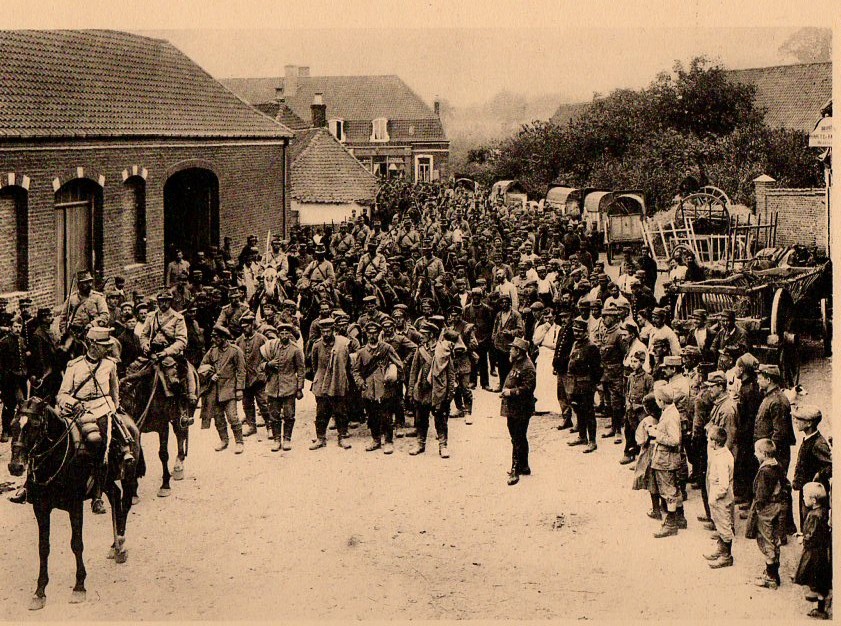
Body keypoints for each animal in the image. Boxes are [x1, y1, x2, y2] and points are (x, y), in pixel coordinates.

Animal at [7, 397, 141, 611]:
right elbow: (43, 547)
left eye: (34, 425)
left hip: (129, 474)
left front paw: (79, 587)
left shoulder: (75, 506)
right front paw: (39, 592)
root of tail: (128, 420)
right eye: (13, 425)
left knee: (125, 503)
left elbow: (76, 544)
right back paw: (114, 544)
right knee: (114, 495)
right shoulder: (41, 508)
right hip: (106, 480)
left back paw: (120, 543)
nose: (15, 466)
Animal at [120, 358, 192, 499]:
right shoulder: (138, 430)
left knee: (181, 434)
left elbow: (163, 454)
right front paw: (134, 492)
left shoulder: (163, 426)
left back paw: (179, 467)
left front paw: (165, 486)